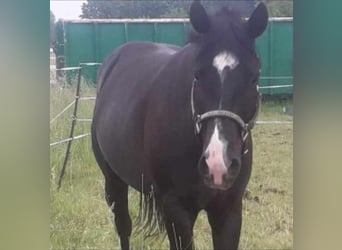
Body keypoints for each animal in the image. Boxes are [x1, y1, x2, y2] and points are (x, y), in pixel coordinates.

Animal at [92, 0, 268, 249]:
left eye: (254, 77)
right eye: (197, 75)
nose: (218, 164)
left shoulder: (229, 210)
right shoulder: (176, 211)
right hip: (113, 180)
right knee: (123, 227)